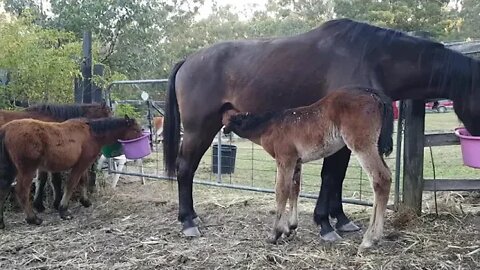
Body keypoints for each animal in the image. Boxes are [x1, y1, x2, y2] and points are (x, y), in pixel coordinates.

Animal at [0, 115, 142, 228]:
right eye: (136, 129)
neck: (91, 134)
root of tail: (5, 129)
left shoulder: (83, 164)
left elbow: (83, 181)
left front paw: (85, 201)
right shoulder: (81, 164)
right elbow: (71, 184)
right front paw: (64, 210)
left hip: (12, 170)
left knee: (4, 190)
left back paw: (2, 222)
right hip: (27, 170)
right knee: (22, 191)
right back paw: (33, 219)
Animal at [223, 88, 392, 251]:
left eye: (225, 118)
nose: (224, 130)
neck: (270, 126)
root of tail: (375, 95)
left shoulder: (285, 159)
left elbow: (281, 191)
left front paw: (275, 233)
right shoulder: (296, 162)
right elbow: (294, 189)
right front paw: (290, 227)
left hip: (362, 144)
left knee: (380, 179)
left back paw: (369, 239)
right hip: (374, 146)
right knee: (387, 176)